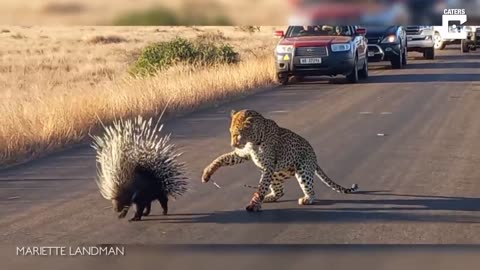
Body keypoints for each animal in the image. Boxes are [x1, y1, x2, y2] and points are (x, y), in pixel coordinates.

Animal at [201, 108, 358, 212]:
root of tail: (314, 154)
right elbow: (222, 158)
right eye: (230, 132)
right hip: (277, 174)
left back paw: (306, 199)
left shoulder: (268, 166)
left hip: (302, 170)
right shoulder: (243, 155)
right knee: (279, 192)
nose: (233, 144)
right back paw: (268, 197)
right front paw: (207, 173)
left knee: (310, 189)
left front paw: (254, 204)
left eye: (238, 134)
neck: (254, 140)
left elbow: (261, 186)